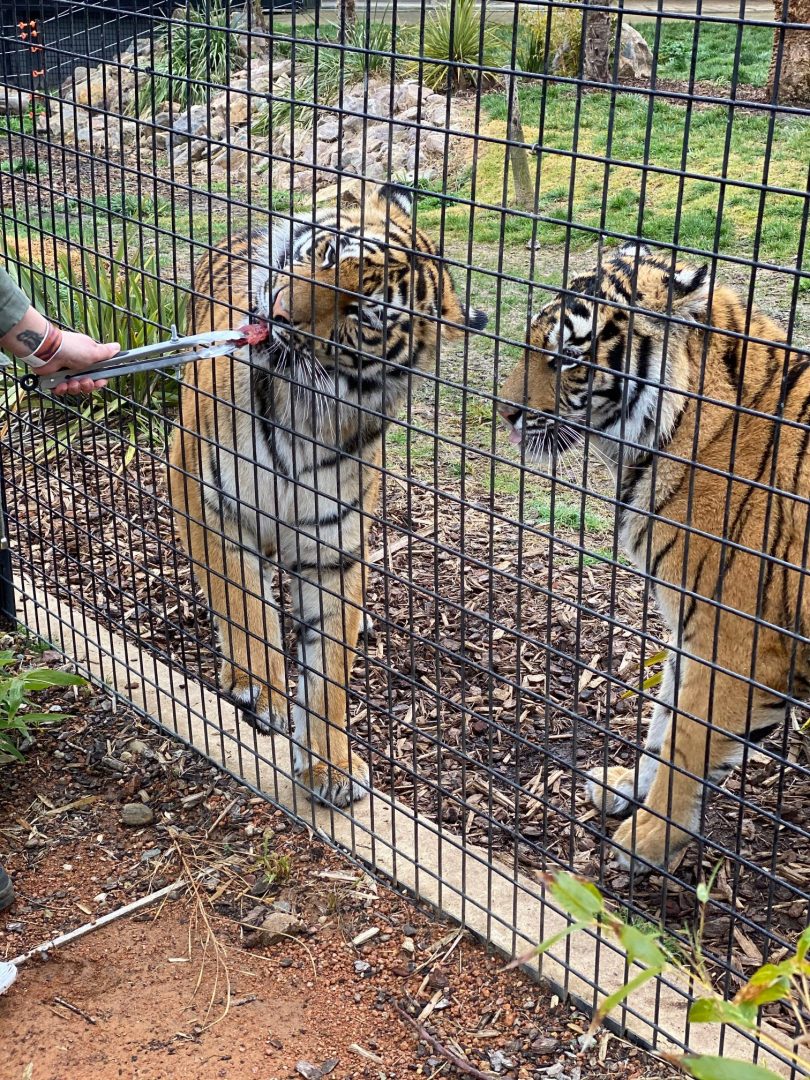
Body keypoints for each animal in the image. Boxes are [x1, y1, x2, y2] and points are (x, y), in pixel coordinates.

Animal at [167, 181, 487, 808]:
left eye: (361, 312)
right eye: (328, 253)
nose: (277, 313)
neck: (302, 409)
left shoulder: (331, 547)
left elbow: (328, 669)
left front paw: (330, 765)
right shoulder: (205, 494)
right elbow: (243, 600)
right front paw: (260, 687)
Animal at [498, 242, 809, 872]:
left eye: (568, 360)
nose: (503, 412)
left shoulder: (736, 645)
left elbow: (689, 745)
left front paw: (646, 839)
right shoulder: (690, 630)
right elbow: (663, 723)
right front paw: (625, 788)